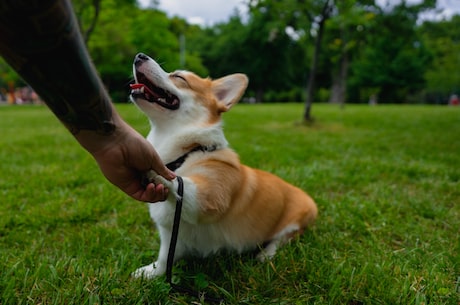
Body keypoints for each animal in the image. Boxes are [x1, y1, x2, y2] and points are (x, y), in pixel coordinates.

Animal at [129, 52, 316, 278]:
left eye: (179, 77)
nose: (139, 55)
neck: (188, 152)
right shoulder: (170, 235)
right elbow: (165, 258)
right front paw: (149, 273)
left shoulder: (208, 200)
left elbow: (180, 182)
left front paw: (156, 172)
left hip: (296, 222)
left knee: (281, 240)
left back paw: (265, 255)